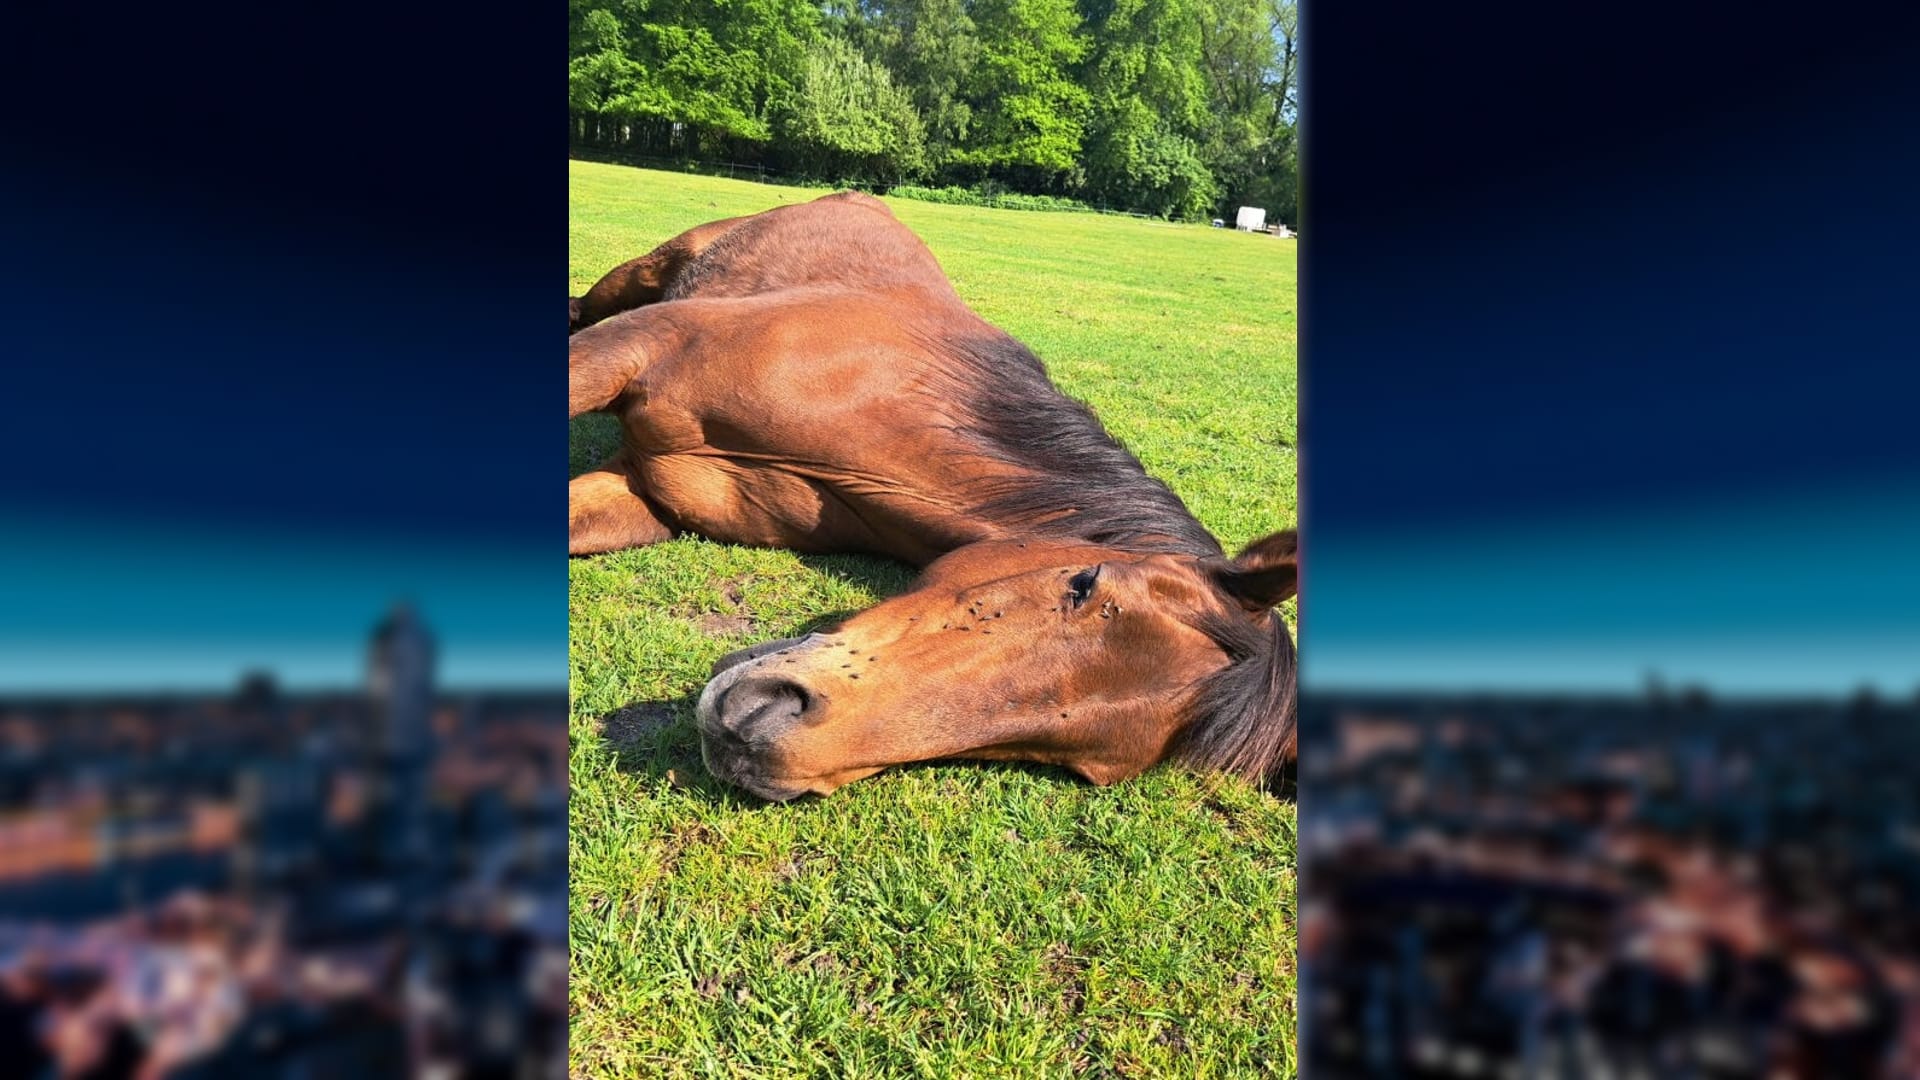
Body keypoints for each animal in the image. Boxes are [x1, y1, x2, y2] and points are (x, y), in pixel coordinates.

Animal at [564, 189, 1290, 799]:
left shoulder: (647, 496)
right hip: (641, 278)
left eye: (1075, 764)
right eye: (1084, 583)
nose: (756, 732)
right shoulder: (633, 346)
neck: (874, 404)